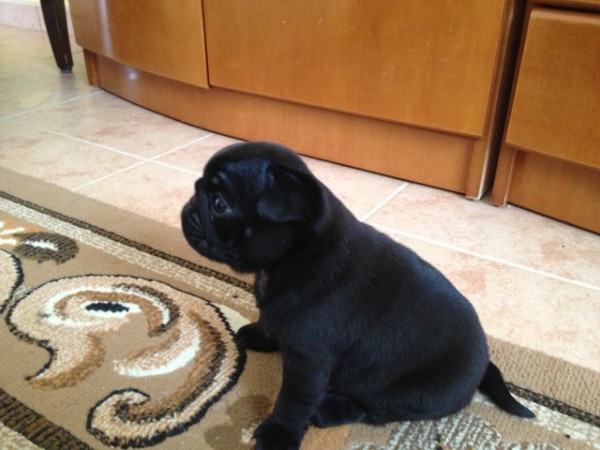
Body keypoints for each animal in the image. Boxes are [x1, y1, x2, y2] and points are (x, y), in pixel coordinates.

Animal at [181, 142, 534, 450]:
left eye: (219, 205)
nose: (188, 207)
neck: (297, 254)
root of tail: (483, 366)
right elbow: (269, 321)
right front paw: (259, 335)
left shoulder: (308, 362)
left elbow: (293, 402)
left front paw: (278, 434)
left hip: (408, 392)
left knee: (375, 409)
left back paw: (328, 410)